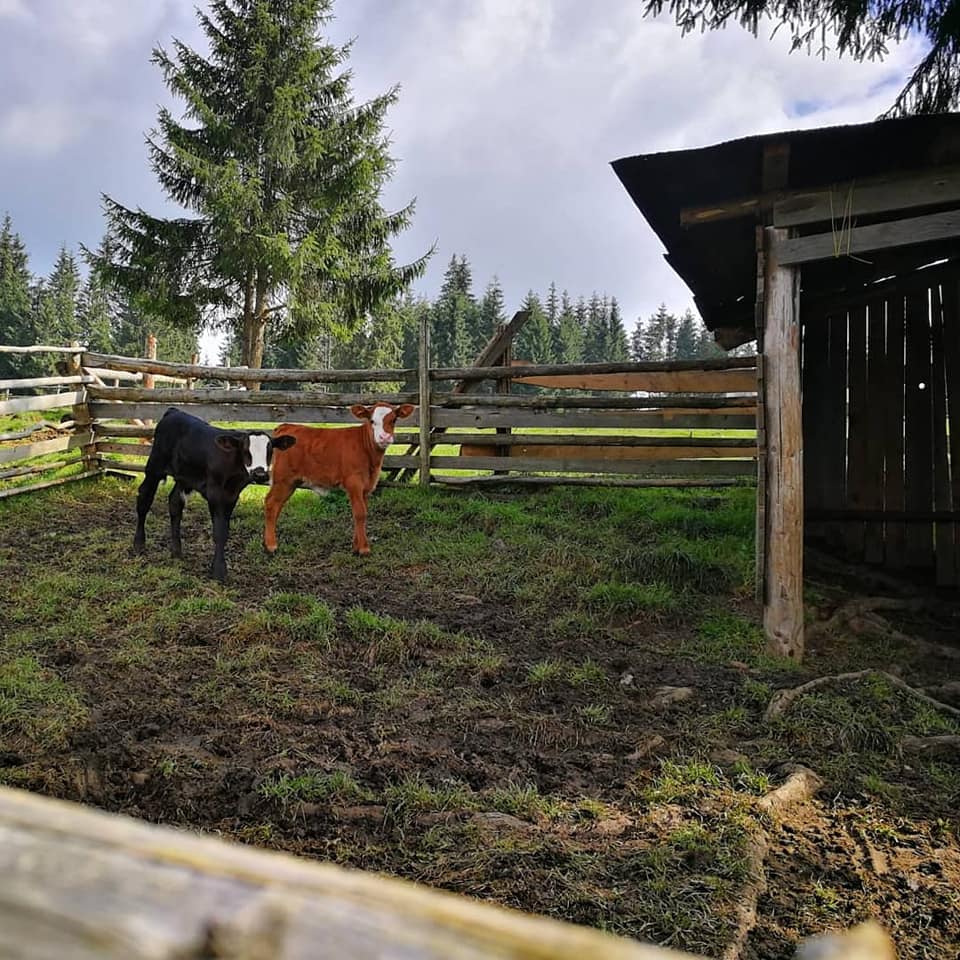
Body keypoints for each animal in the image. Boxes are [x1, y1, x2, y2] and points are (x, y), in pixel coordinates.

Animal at [133, 406, 294, 580]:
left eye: (270, 450)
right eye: (245, 450)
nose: (260, 474)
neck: (233, 468)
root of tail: (174, 411)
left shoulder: (232, 495)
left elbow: (225, 529)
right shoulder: (214, 493)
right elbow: (219, 531)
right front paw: (218, 571)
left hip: (185, 476)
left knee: (175, 503)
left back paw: (176, 551)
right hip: (154, 466)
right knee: (144, 498)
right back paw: (139, 544)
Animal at [264, 404, 414, 556]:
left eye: (394, 420)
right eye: (372, 421)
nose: (384, 437)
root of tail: (286, 426)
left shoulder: (366, 488)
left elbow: (362, 511)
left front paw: (355, 546)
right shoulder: (354, 482)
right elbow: (360, 513)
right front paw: (364, 548)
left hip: (291, 483)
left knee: (277, 506)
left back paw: (266, 543)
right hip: (283, 480)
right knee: (271, 503)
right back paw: (271, 546)